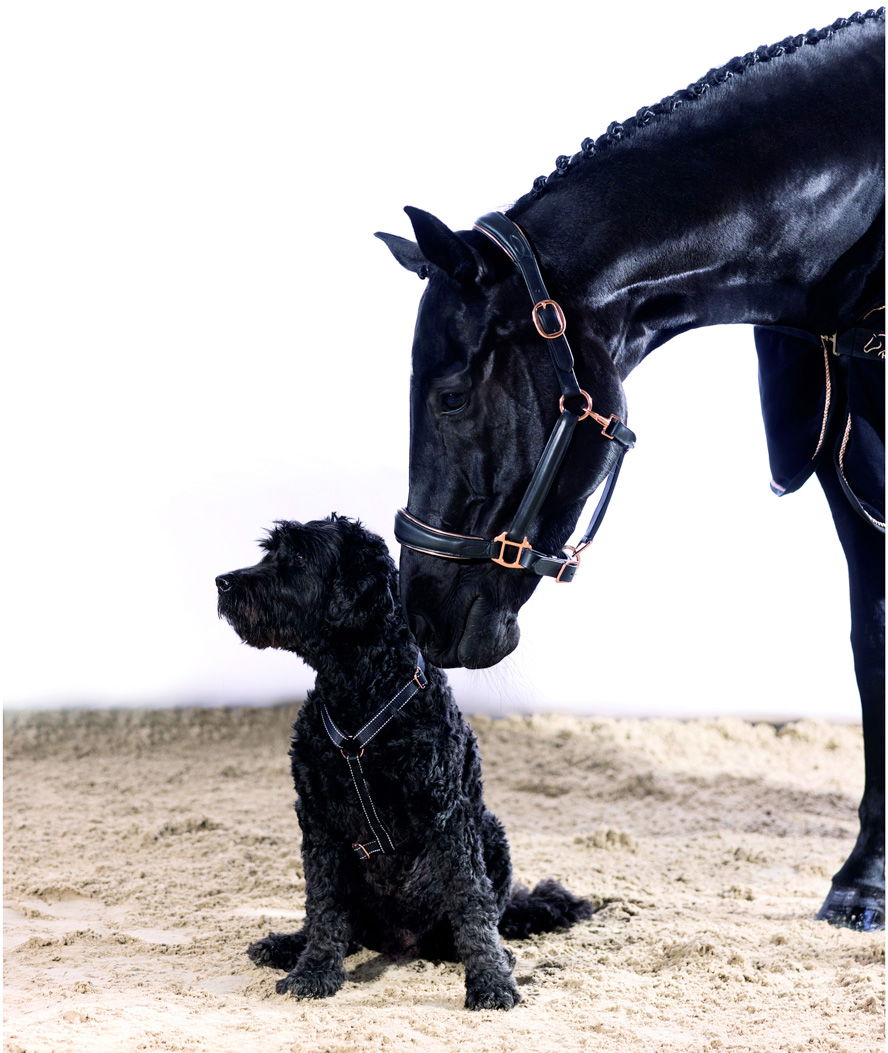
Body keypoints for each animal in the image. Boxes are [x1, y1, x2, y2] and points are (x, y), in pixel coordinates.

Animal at [214, 513, 589, 1006]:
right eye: (268, 552)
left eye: (297, 556)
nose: (222, 581)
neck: (361, 691)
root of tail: (398, 942)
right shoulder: (318, 821)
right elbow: (324, 905)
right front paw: (313, 971)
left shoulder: (449, 817)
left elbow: (472, 902)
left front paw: (491, 981)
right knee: (343, 926)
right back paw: (289, 945)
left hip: (490, 829)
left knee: (482, 914)